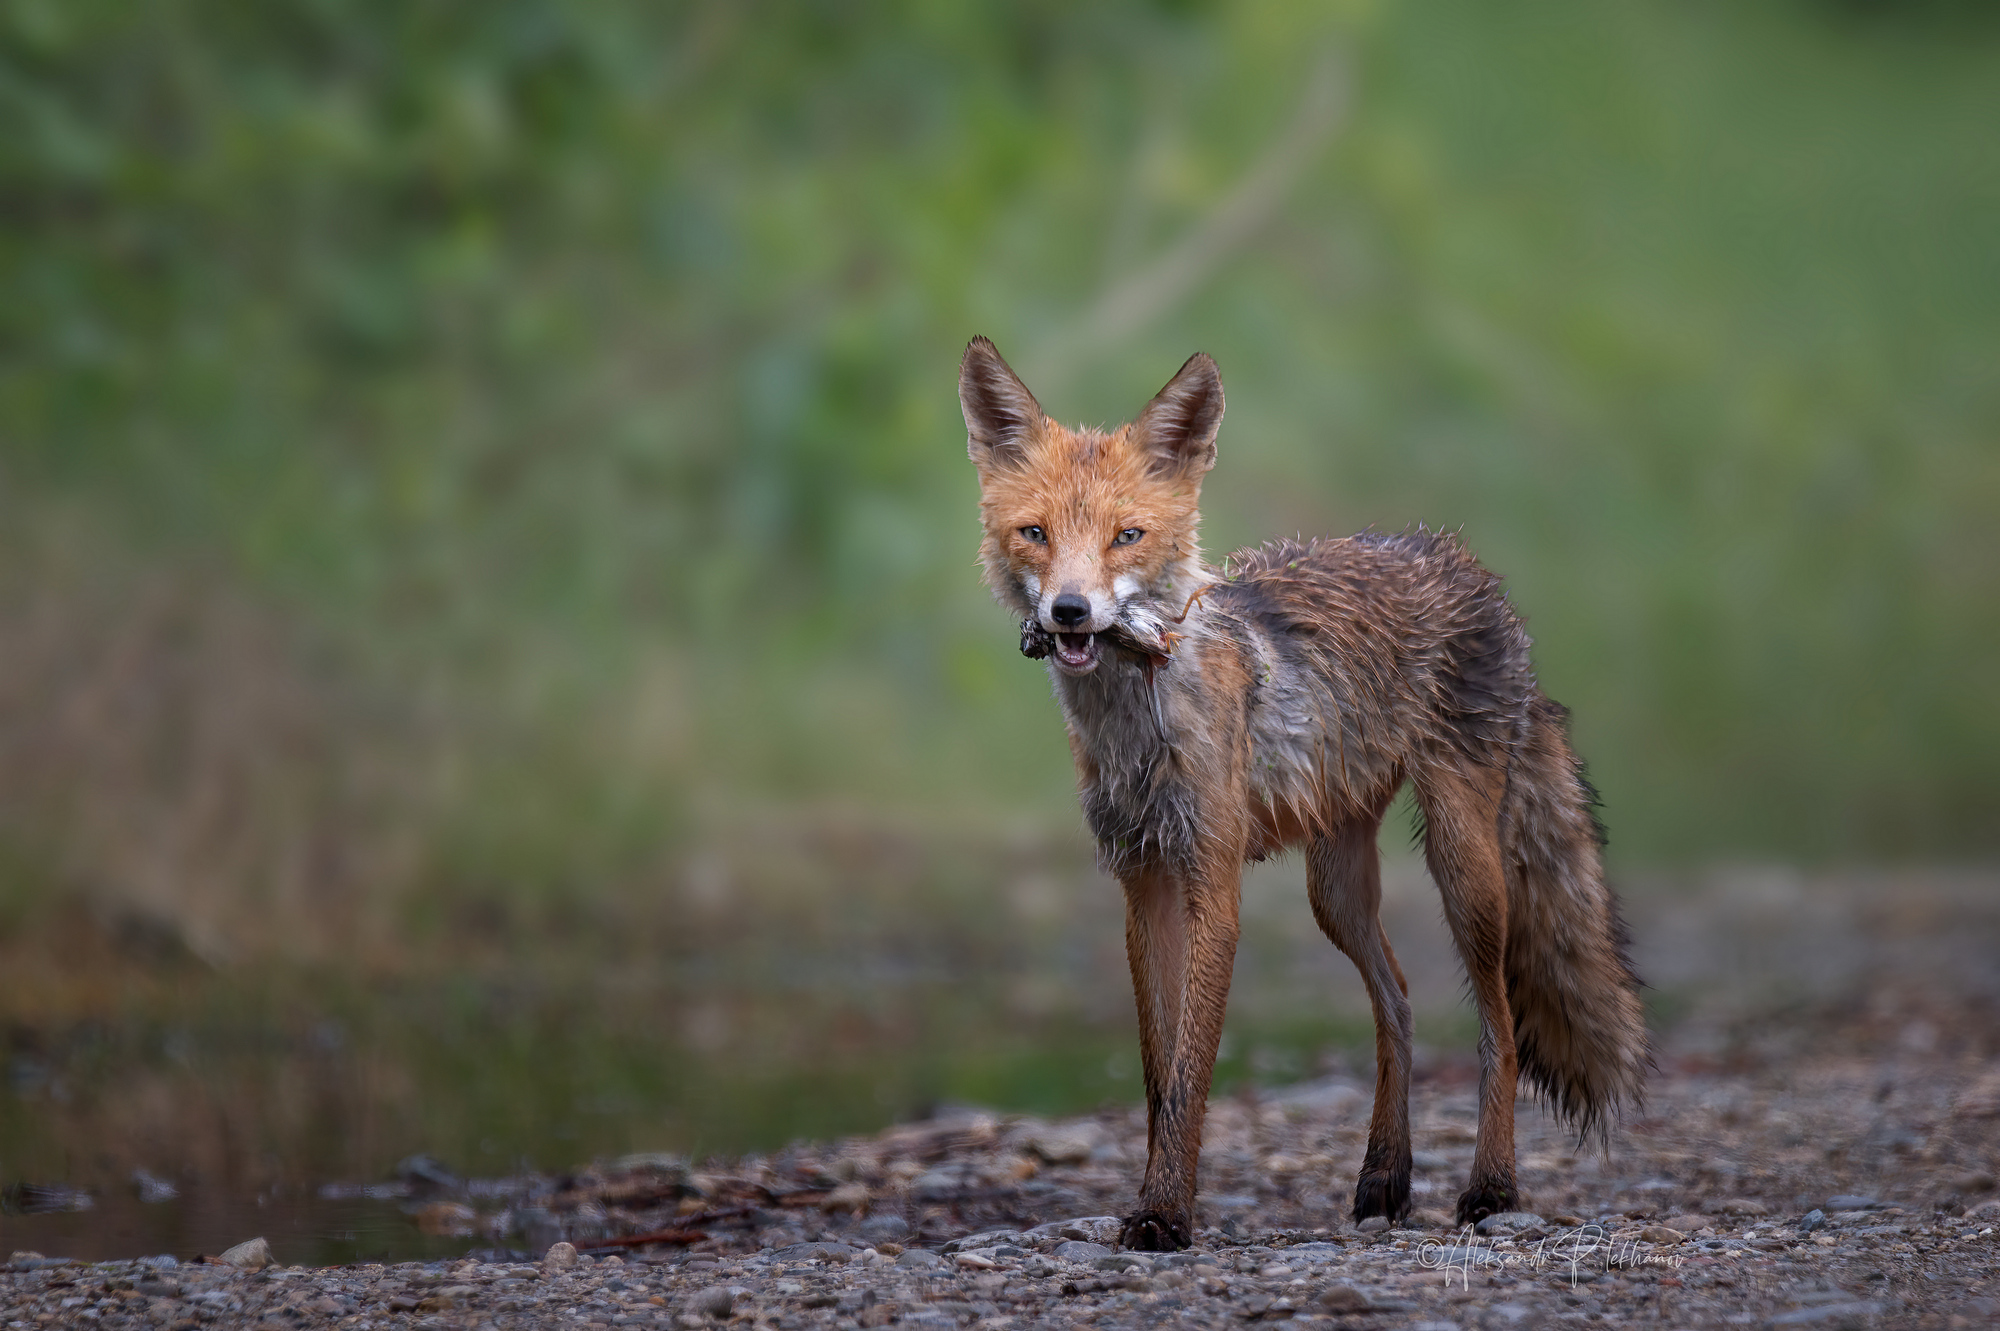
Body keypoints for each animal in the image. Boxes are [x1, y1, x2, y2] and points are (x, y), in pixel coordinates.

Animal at [960, 331, 1648, 1247]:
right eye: (1034, 533)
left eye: (1127, 536)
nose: (1071, 613)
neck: (1140, 725)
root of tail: (1462, 561)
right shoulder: (1142, 882)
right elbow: (1156, 1073)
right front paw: (1155, 1199)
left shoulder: (1213, 882)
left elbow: (1190, 1075)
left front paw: (1165, 1214)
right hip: (1337, 889)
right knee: (1397, 1002)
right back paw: (1385, 1175)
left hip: (1464, 864)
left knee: (1497, 1023)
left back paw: (1491, 1188)